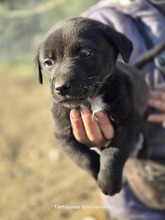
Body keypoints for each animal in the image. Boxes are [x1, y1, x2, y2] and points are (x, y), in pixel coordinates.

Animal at [34, 17, 149, 196]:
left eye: (85, 53)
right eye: (48, 63)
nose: (60, 88)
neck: (91, 99)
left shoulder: (128, 123)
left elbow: (113, 152)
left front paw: (108, 182)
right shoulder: (62, 134)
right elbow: (83, 157)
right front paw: (97, 174)